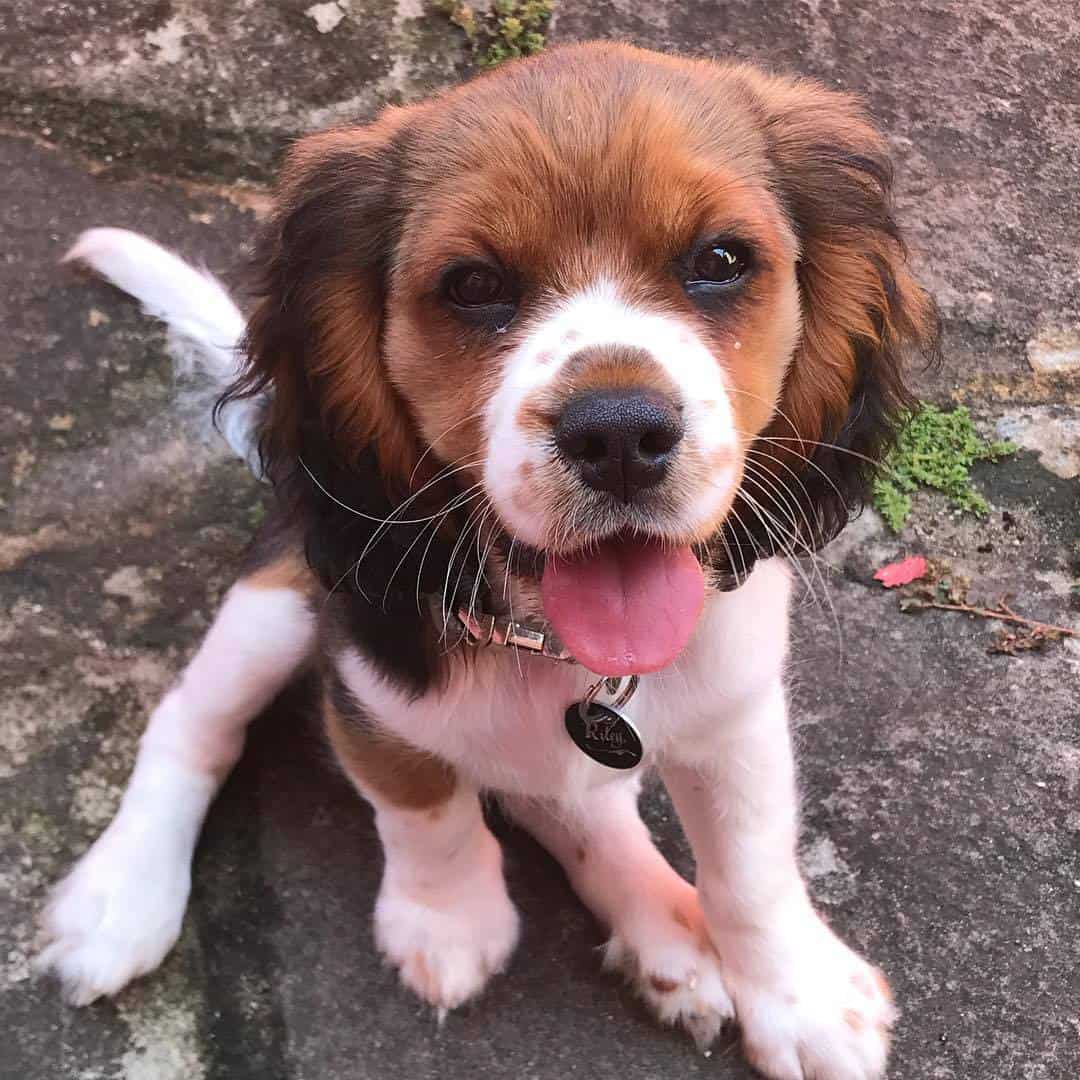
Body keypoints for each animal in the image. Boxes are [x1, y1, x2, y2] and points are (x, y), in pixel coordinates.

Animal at [39, 42, 937, 1080]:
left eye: (719, 262)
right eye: (472, 284)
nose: (619, 434)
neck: (549, 642)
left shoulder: (735, 706)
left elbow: (751, 864)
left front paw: (799, 999)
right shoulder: (366, 688)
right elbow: (420, 798)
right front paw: (447, 918)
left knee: (573, 802)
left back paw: (664, 925)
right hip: (276, 599)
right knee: (193, 721)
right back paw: (121, 897)